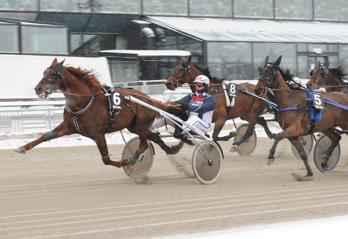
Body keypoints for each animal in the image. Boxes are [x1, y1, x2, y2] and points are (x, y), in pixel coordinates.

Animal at [15, 58, 188, 168]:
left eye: (53, 74)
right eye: (44, 72)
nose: (37, 89)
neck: (83, 102)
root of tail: (150, 100)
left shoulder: (98, 134)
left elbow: (106, 159)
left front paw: (125, 162)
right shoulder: (68, 126)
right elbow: (46, 136)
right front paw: (21, 148)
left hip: (141, 126)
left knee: (150, 140)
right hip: (136, 127)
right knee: (149, 140)